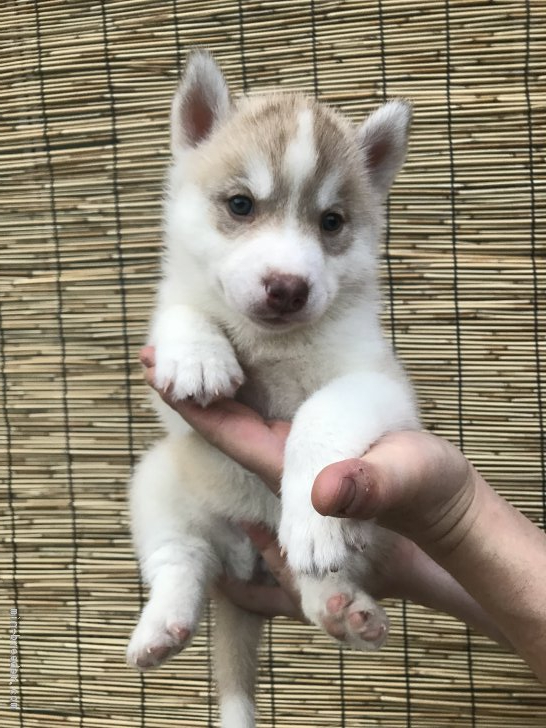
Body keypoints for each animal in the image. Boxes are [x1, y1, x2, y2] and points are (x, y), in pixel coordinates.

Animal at [127, 51, 416, 728]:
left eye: (332, 222)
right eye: (240, 204)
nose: (288, 287)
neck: (273, 347)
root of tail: (246, 562)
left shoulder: (378, 378)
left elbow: (321, 413)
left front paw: (312, 513)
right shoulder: (166, 358)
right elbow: (181, 311)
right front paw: (198, 353)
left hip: (375, 533)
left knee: (312, 579)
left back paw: (340, 603)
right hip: (158, 478)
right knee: (180, 558)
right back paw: (162, 625)